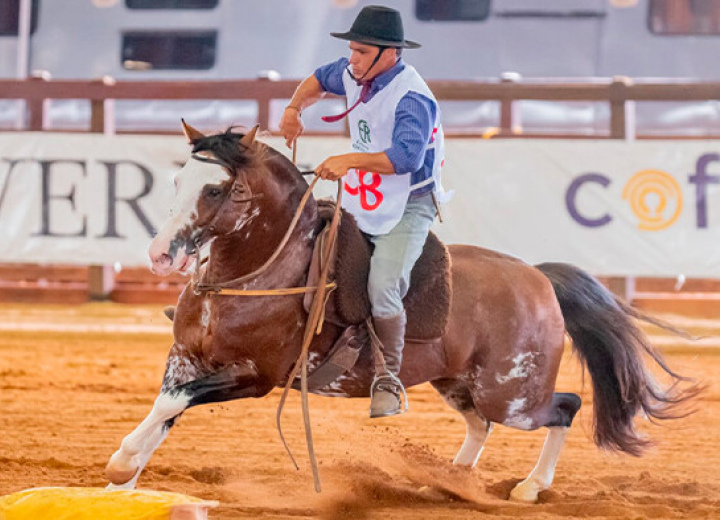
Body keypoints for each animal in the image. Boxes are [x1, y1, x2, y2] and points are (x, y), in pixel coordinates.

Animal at [105, 123, 696, 504]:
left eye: (216, 187)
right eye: (176, 181)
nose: (160, 255)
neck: (255, 275)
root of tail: (538, 278)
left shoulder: (256, 378)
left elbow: (173, 404)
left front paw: (120, 465)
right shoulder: (186, 358)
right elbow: (165, 409)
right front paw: (123, 481)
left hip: (514, 396)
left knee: (565, 407)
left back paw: (530, 487)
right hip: (458, 383)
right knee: (479, 425)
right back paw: (452, 479)